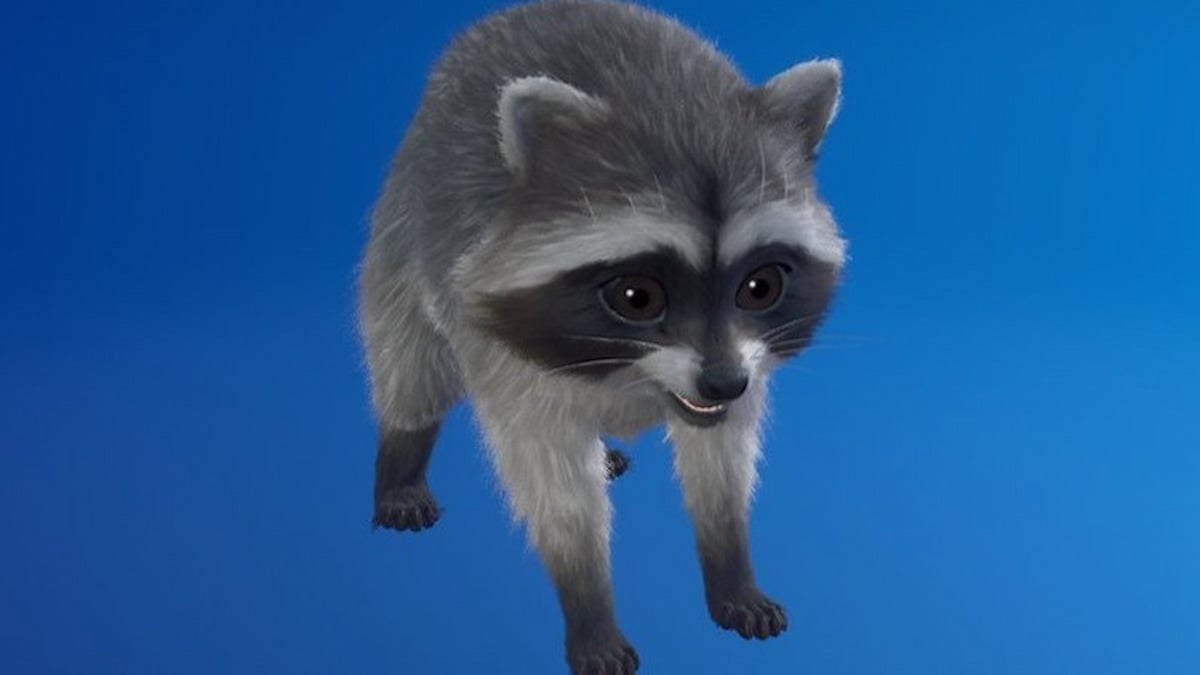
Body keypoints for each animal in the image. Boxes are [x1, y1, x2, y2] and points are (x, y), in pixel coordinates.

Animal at [358, 1, 845, 672]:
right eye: (637, 297)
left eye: (761, 286)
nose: (723, 382)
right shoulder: (506, 350)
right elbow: (557, 491)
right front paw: (588, 603)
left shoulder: (741, 370)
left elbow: (722, 464)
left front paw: (730, 564)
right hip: (406, 230)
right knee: (412, 367)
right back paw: (400, 460)